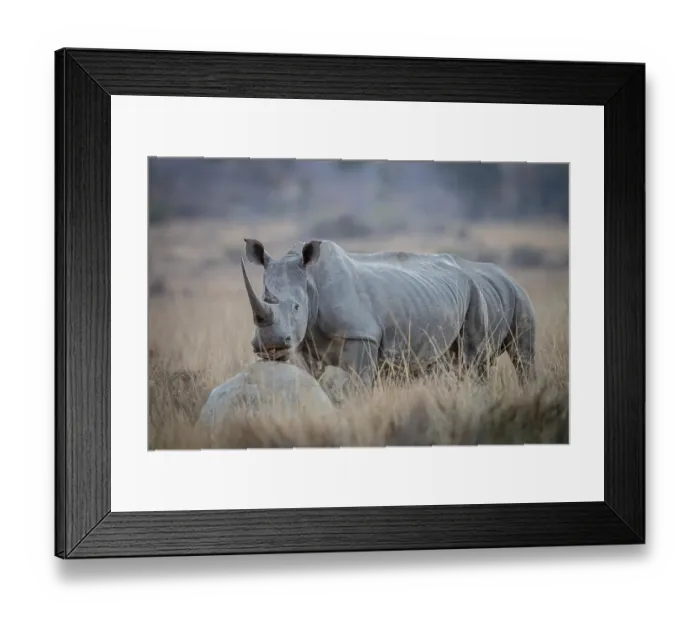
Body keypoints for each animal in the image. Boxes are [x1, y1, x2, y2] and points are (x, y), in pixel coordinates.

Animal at [240, 238, 537, 390]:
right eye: (263, 301)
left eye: (297, 307)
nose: (270, 345)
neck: (311, 281)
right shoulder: (305, 345)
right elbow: (312, 382)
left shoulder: (363, 336)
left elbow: (357, 386)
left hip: (488, 292)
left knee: (488, 359)